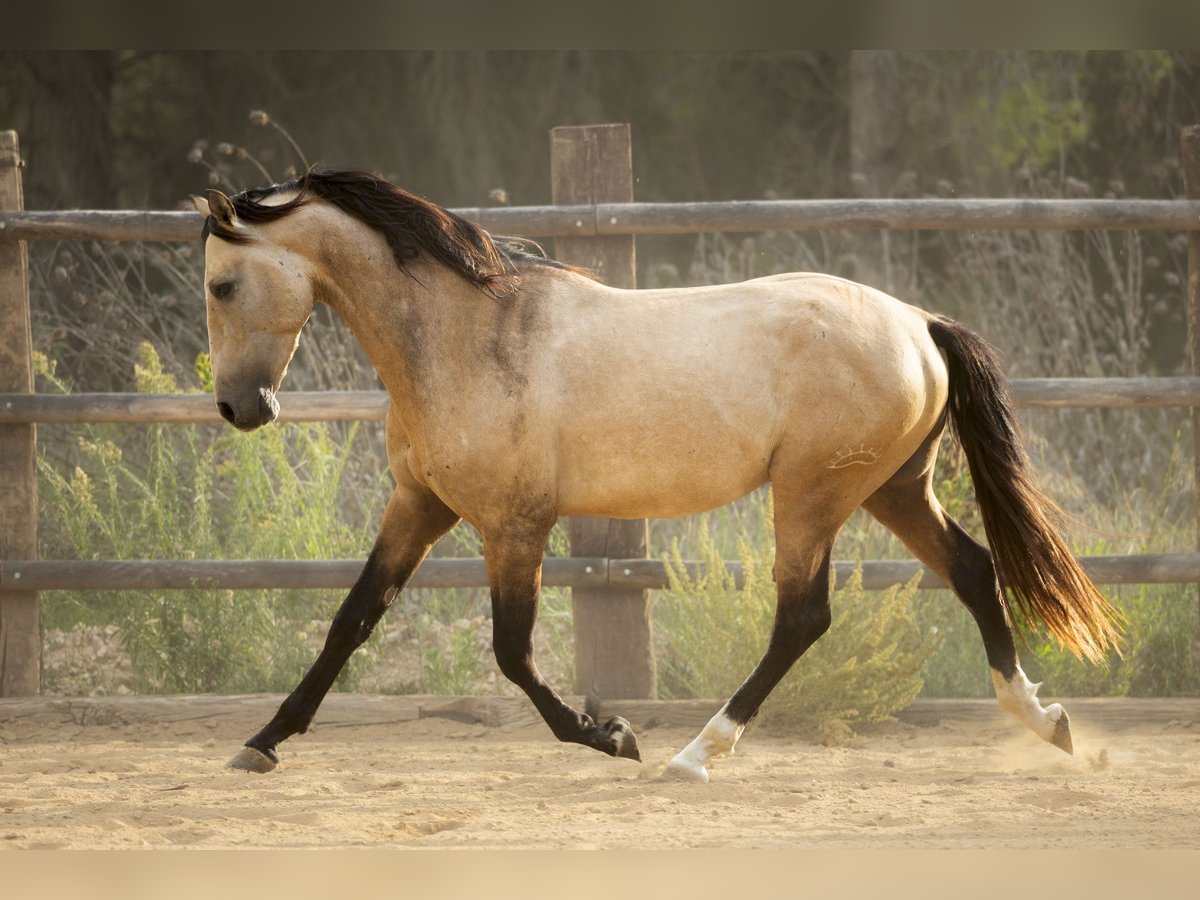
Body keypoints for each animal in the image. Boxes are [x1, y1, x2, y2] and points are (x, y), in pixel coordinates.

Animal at [191, 167, 1120, 783]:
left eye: (223, 283)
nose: (240, 408)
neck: (468, 336)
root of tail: (919, 323)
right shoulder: (419, 504)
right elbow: (352, 618)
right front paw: (262, 741)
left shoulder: (515, 525)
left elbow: (512, 652)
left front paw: (611, 735)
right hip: (893, 488)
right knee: (972, 569)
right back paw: (1049, 723)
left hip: (815, 494)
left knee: (803, 617)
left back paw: (694, 754)